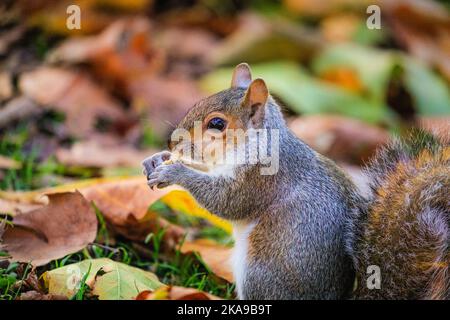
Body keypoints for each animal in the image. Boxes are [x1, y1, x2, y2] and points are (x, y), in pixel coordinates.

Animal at [142, 63, 448, 300]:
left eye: (217, 124)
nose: (172, 142)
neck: (259, 143)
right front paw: (158, 159)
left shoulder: (261, 178)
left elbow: (226, 202)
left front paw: (174, 172)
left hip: (261, 272)